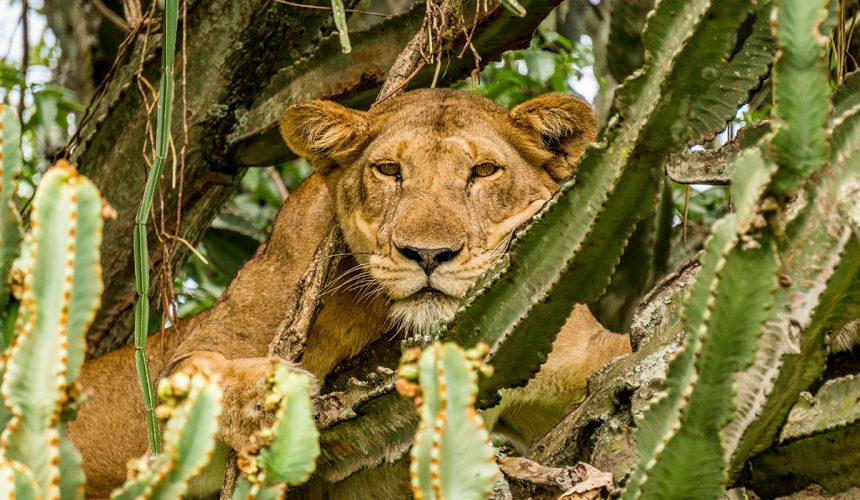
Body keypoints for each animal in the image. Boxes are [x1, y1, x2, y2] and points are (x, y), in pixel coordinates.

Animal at [69, 89, 632, 496]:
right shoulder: (202, 346)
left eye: (484, 171)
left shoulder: (573, 351)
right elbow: (189, 374)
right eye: (389, 170)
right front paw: (271, 402)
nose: (428, 254)